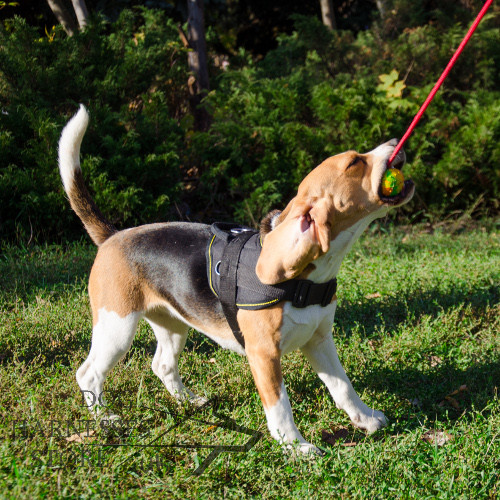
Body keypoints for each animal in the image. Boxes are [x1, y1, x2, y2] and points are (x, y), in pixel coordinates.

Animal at [57, 104, 414, 454]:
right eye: (355, 162)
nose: (396, 140)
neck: (307, 278)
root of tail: (112, 236)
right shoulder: (264, 355)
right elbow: (280, 406)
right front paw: (295, 446)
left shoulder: (319, 340)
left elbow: (343, 386)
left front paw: (365, 419)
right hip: (116, 328)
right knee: (88, 374)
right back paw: (105, 418)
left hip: (173, 325)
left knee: (162, 365)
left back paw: (189, 401)